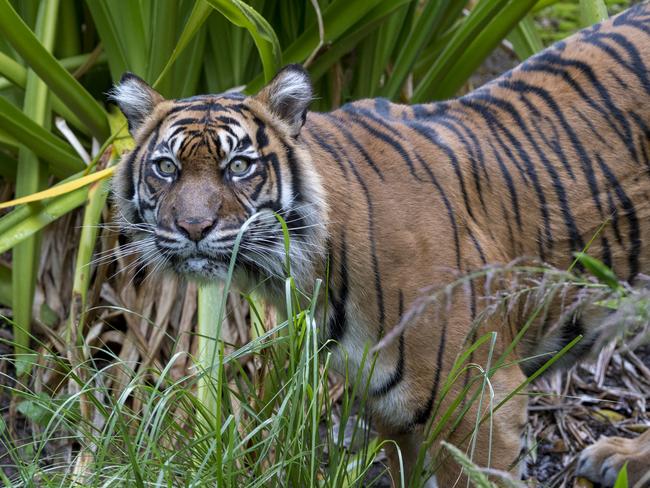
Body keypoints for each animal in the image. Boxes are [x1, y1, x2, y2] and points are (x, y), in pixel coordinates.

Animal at [109, 4, 648, 488]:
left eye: (238, 166)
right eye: (166, 168)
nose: (193, 227)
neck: (309, 273)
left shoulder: (480, 399)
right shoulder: (392, 406)